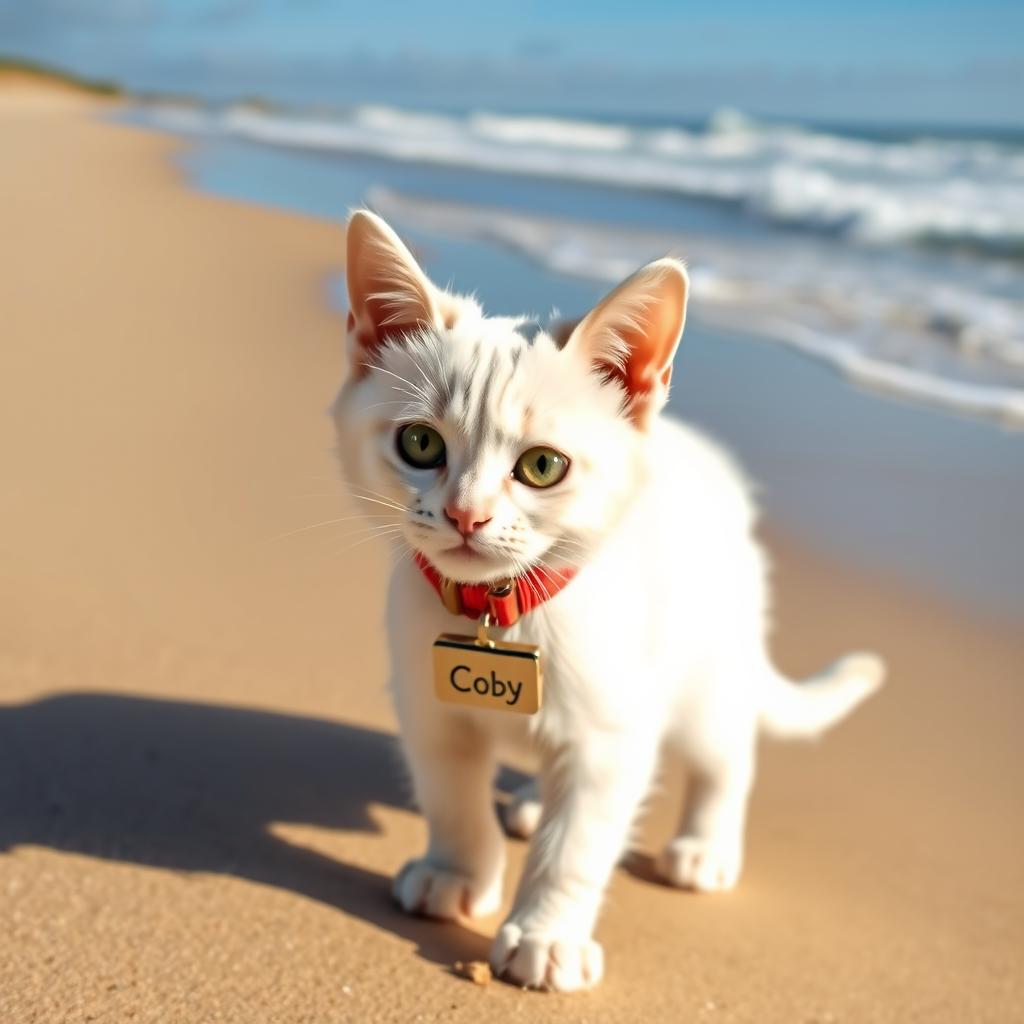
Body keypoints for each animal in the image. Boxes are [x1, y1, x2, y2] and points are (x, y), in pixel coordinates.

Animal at [331, 209, 884, 991]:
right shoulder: (430, 710)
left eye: (542, 466)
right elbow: (452, 799)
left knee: (727, 756)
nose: (467, 515)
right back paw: (532, 800)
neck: (504, 611)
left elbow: (577, 845)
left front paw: (546, 934)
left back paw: (705, 845)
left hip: (707, 672)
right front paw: (456, 872)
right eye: (419, 444)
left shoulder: (612, 737)